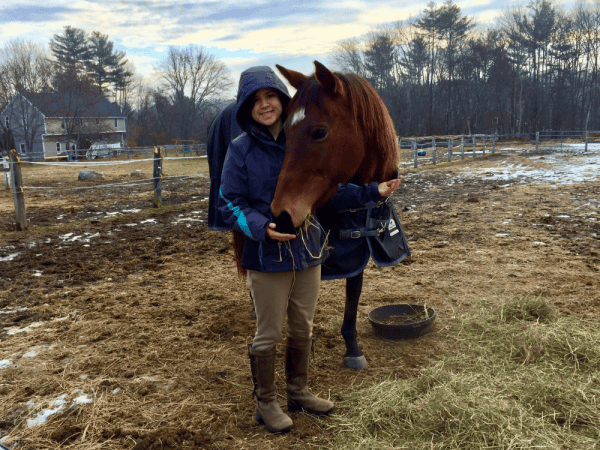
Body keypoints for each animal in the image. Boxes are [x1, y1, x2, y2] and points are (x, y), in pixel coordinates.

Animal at [270, 60, 400, 370]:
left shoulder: (358, 250)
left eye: (319, 132)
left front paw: (352, 347)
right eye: (285, 133)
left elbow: (353, 293)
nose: (282, 214)